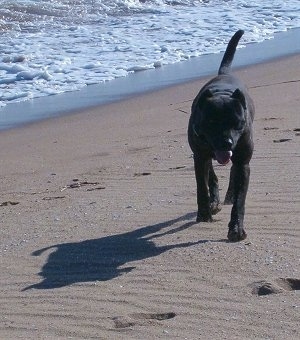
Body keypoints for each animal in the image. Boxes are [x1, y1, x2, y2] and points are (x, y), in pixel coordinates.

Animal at [189, 29, 254, 242]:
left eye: (238, 123)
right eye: (211, 123)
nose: (227, 142)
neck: (222, 93)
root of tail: (224, 75)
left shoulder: (242, 160)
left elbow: (240, 199)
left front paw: (236, 229)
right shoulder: (200, 155)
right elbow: (202, 185)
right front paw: (204, 213)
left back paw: (229, 195)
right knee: (211, 175)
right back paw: (214, 202)